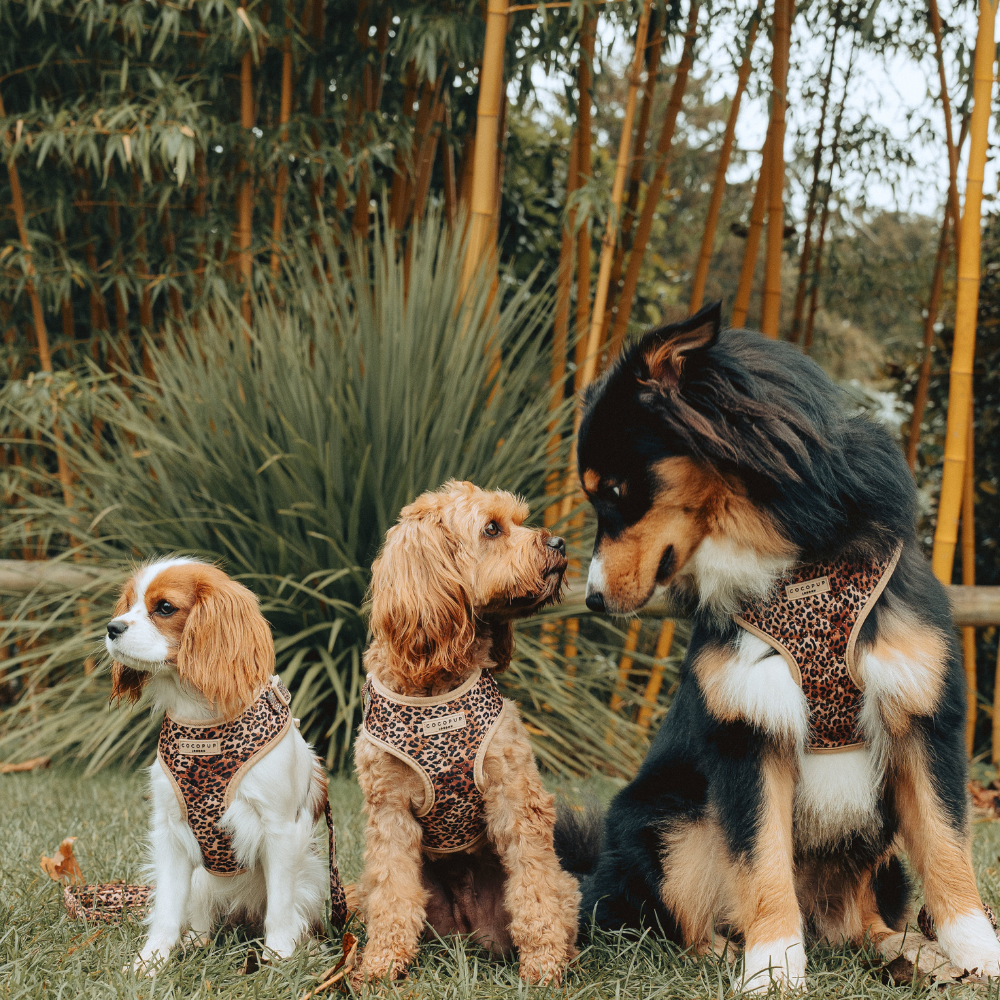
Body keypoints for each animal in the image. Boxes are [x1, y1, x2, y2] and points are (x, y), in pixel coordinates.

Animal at [107, 560, 330, 972]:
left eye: (164, 608)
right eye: (128, 604)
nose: (112, 627)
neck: (204, 723)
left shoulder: (280, 830)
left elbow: (281, 910)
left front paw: (278, 958)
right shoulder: (170, 833)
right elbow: (167, 910)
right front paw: (151, 962)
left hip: (312, 874)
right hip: (202, 880)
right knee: (198, 913)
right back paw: (196, 941)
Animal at [564, 304, 1000, 992]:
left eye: (613, 490)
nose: (593, 600)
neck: (792, 557)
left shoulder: (920, 707)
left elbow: (947, 842)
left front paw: (979, 955)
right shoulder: (748, 724)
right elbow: (760, 862)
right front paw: (771, 971)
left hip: (877, 859)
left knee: (867, 919)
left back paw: (909, 952)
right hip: (666, 823)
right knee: (676, 923)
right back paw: (727, 954)